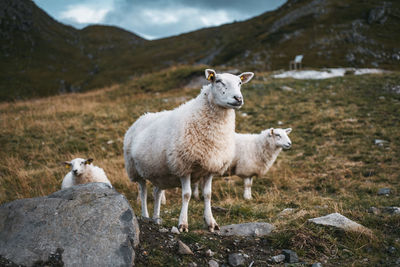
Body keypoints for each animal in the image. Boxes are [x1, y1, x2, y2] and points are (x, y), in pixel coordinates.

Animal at [123, 68, 253, 232]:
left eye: (240, 83)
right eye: (218, 81)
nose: (238, 98)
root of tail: (142, 117)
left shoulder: (210, 166)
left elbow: (208, 194)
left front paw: (211, 222)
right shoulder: (184, 165)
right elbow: (186, 195)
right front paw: (183, 224)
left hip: (159, 172)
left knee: (157, 192)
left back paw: (156, 219)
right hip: (135, 169)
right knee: (143, 192)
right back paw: (145, 216)